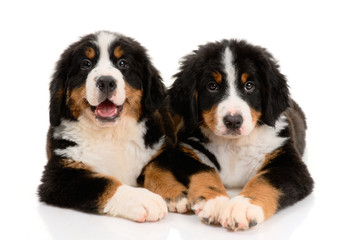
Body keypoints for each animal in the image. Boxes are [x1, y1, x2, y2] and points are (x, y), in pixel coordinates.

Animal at [37, 31, 170, 222]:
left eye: (123, 63)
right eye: (86, 64)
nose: (106, 82)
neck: (111, 134)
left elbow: (159, 167)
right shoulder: (57, 175)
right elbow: (104, 182)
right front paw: (141, 198)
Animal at [141, 39, 316, 231]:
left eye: (249, 86)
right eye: (212, 86)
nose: (233, 121)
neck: (234, 145)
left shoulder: (290, 165)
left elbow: (264, 181)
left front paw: (242, 206)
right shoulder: (187, 151)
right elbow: (205, 172)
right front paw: (215, 202)